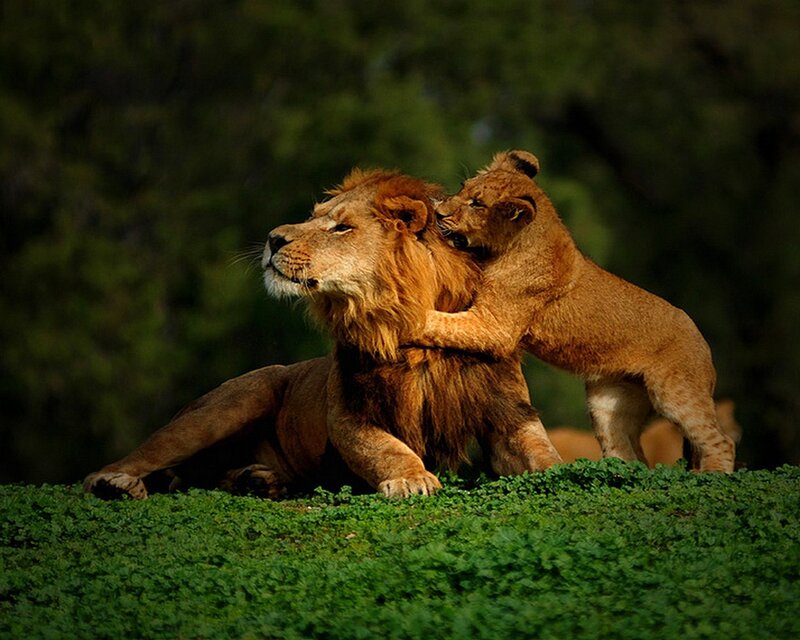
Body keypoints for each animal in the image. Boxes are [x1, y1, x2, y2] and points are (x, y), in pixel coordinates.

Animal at [84, 168, 561, 500]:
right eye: (311, 218)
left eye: (342, 227)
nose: (272, 238)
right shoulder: (349, 415)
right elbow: (387, 448)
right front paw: (412, 478)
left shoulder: (509, 412)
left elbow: (542, 452)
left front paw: (566, 472)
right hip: (227, 406)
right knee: (133, 460)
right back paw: (116, 483)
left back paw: (258, 480)